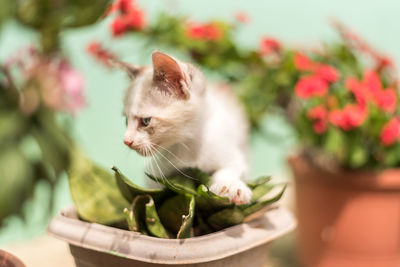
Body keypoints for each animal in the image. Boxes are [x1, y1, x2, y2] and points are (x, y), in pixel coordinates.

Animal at [122, 51, 253, 204]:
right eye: (126, 120)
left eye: (146, 121)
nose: (127, 141)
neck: (188, 145)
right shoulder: (155, 172)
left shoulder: (233, 154)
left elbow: (231, 169)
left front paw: (231, 187)